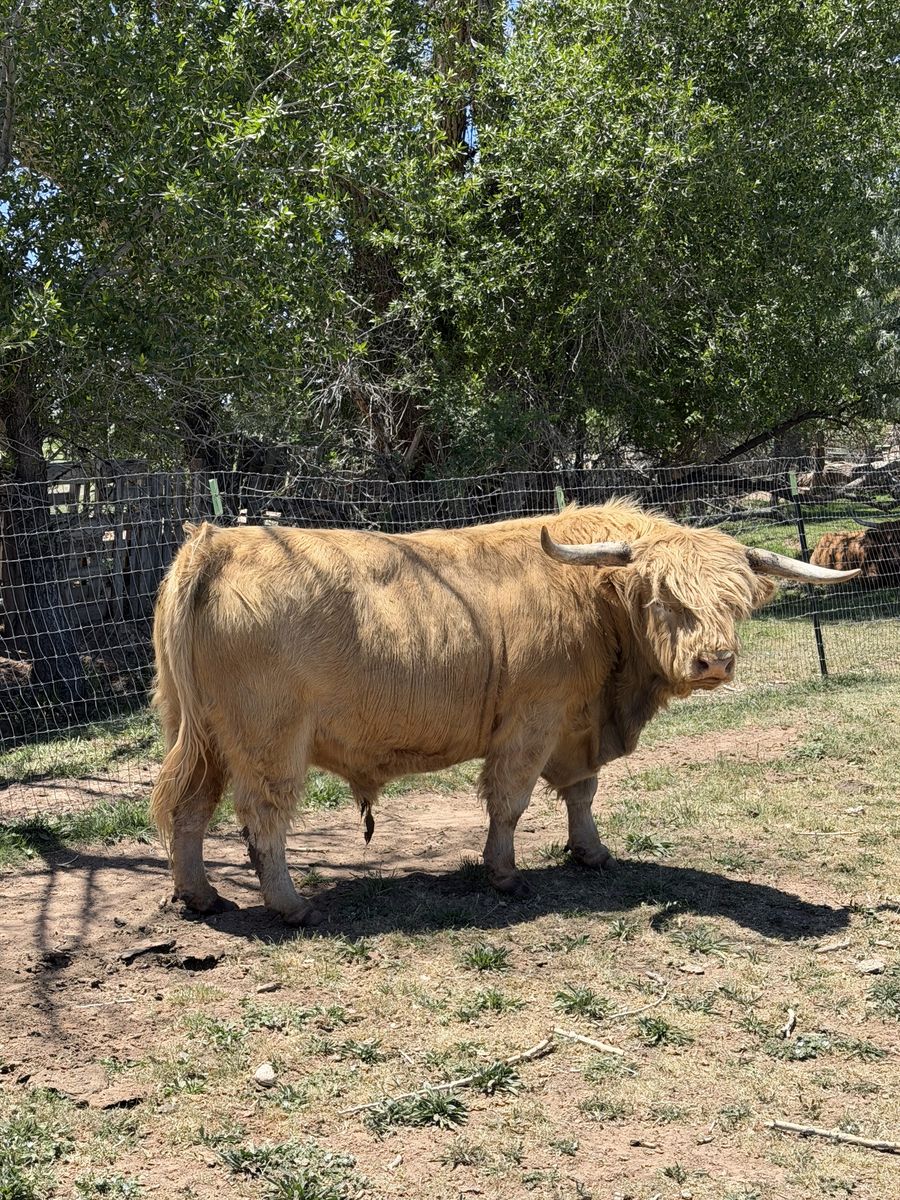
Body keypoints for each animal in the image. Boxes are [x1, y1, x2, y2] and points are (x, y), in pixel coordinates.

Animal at [149, 500, 859, 925]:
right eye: (664, 599)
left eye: (735, 601)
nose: (715, 661)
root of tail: (215, 542)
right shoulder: (534, 719)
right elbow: (510, 800)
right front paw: (504, 875)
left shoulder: (576, 723)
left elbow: (582, 792)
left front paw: (590, 852)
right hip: (268, 738)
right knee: (263, 817)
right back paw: (291, 905)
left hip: (198, 732)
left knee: (187, 809)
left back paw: (200, 896)